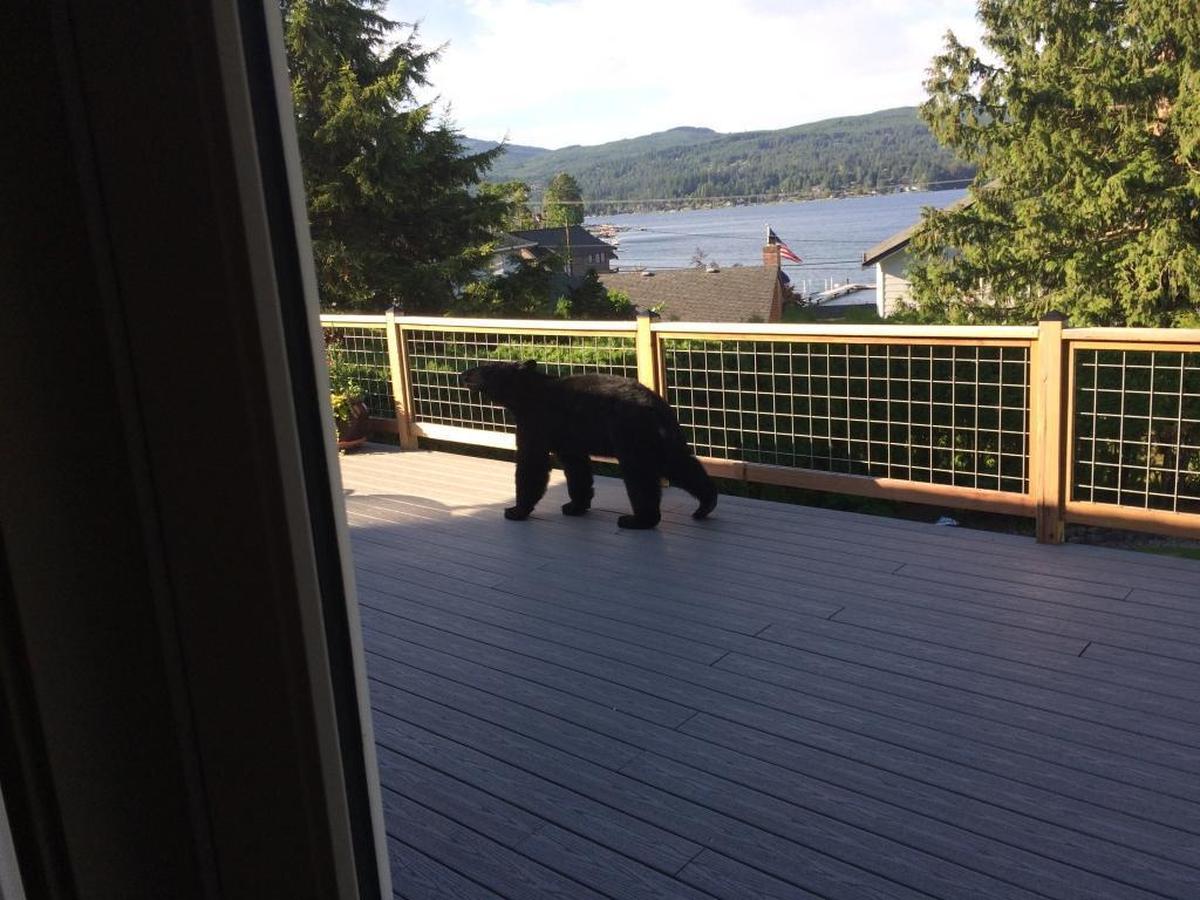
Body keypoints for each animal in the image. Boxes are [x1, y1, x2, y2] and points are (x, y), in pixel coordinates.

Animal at [460, 360, 717, 529]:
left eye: (486, 368)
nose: (463, 373)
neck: (524, 396)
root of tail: (656, 405)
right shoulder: (568, 437)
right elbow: (576, 468)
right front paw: (575, 506)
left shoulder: (537, 422)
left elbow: (532, 463)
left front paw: (516, 510)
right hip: (660, 439)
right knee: (680, 464)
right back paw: (706, 504)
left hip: (630, 431)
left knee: (639, 474)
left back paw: (637, 520)